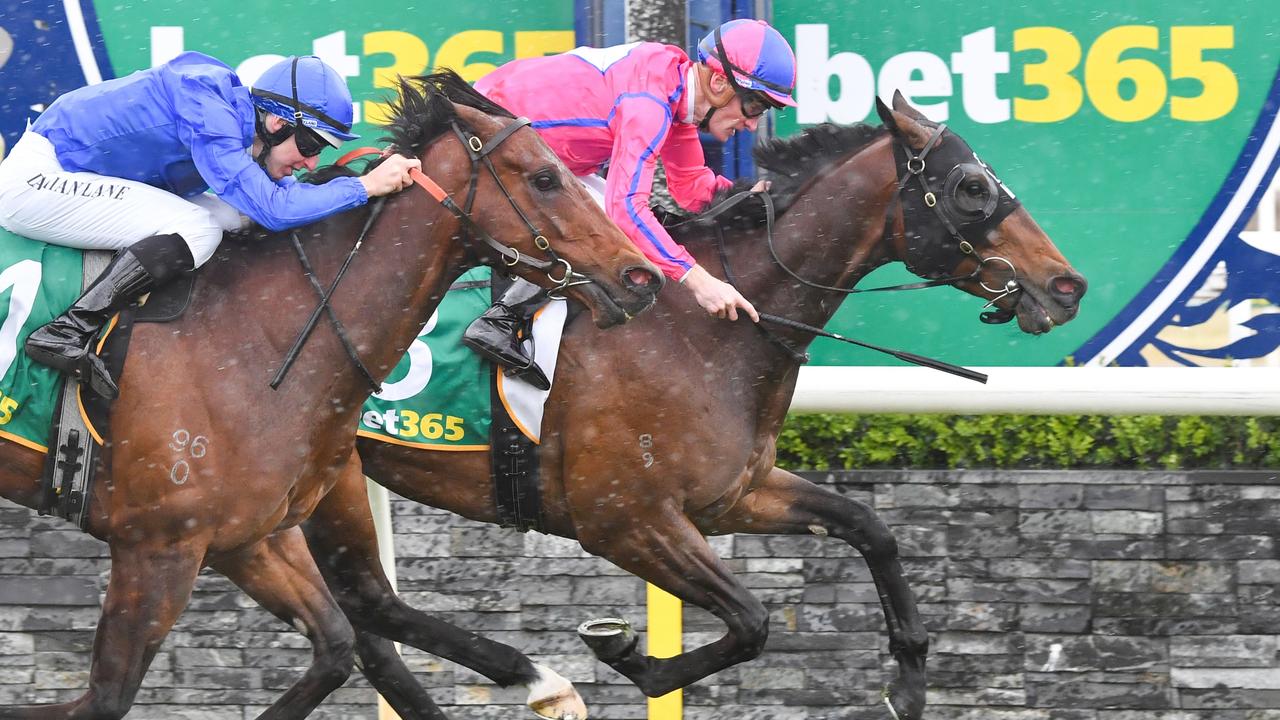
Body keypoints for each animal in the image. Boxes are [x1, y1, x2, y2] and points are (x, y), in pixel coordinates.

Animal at [0, 74, 660, 717]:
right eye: (546, 177)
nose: (642, 277)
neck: (256, 333)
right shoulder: (158, 545)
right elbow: (103, 699)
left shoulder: (248, 536)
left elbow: (340, 644)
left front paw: (551, 683)